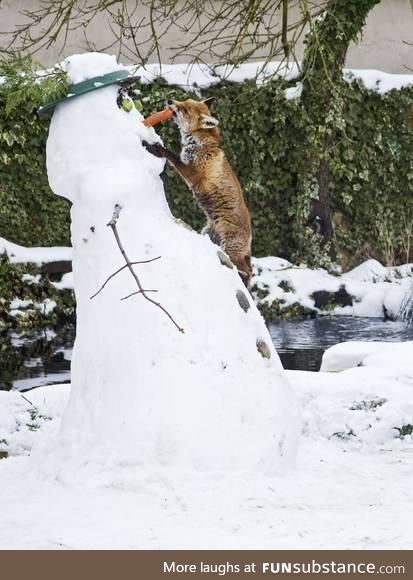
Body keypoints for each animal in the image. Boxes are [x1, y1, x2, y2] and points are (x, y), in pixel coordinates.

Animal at [142, 99, 251, 290]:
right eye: (183, 100)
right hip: (209, 235)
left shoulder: (192, 173)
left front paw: (155, 147)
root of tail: (251, 239)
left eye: (185, 109)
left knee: (246, 271)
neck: (200, 144)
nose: (169, 101)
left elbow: (170, 155)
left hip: (230, 249)